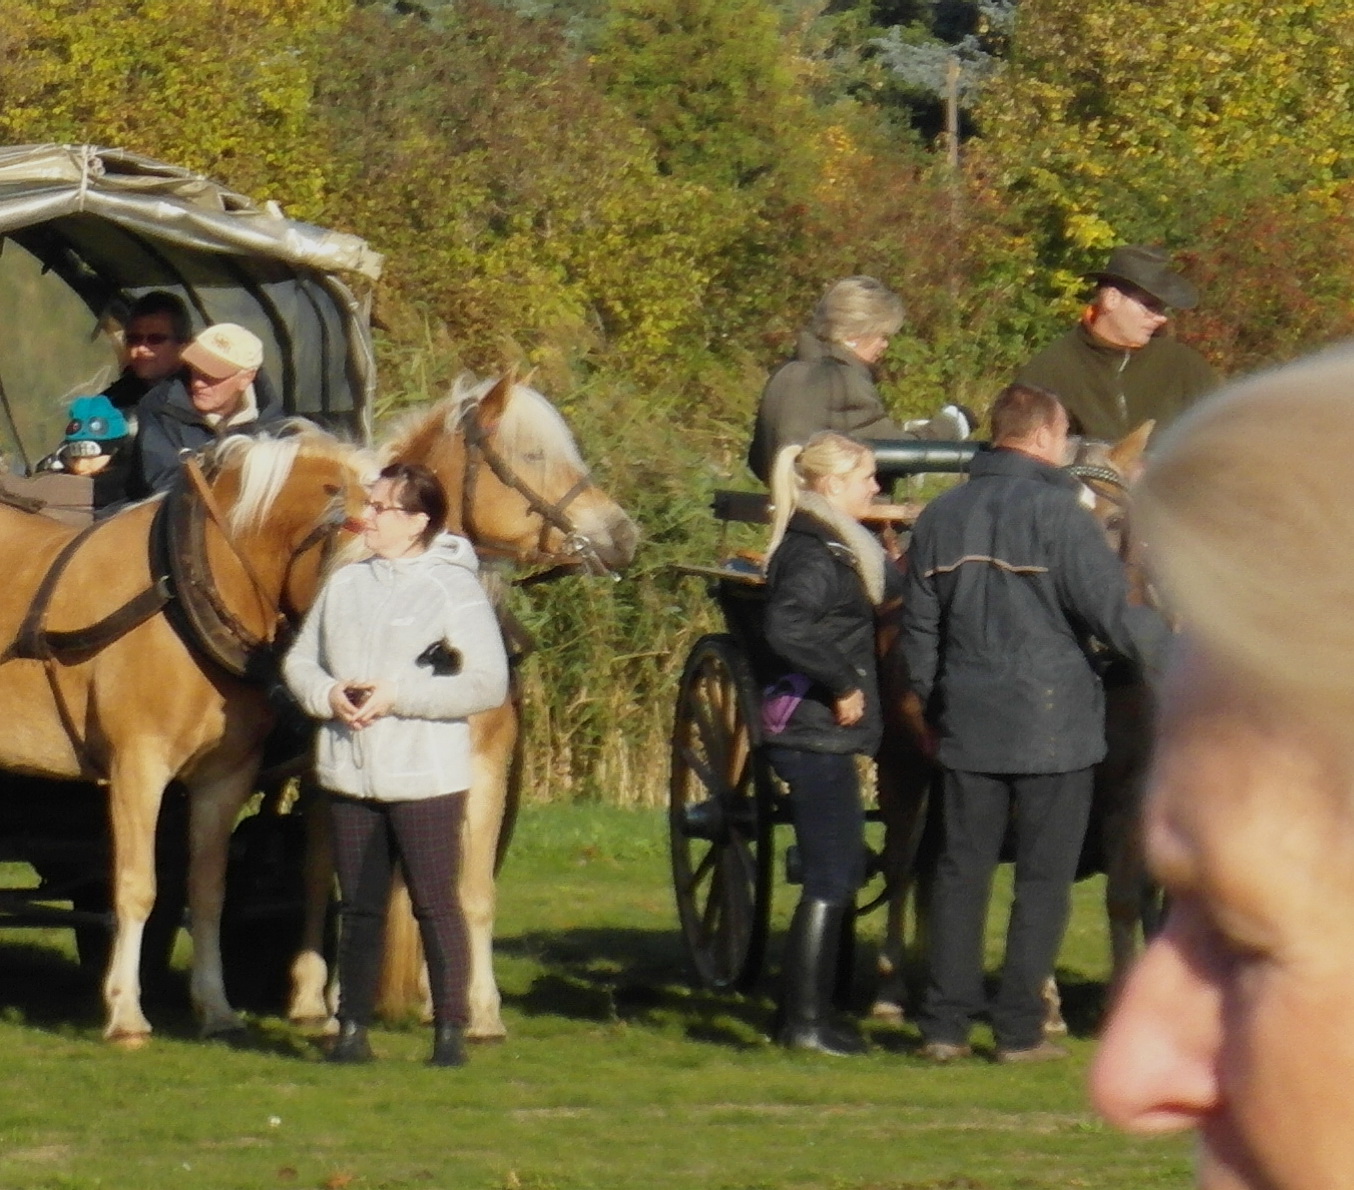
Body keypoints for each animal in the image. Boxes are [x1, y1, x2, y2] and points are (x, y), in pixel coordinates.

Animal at [0, 430, 368, 1039]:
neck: (185, 582)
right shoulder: (138, 766)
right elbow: (136, 887)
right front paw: (126, 1011)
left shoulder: (225, 777)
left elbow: (210, 890)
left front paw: (216, 1007)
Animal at [284, 373, 639, 1039]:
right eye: (533, 454)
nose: (624, 536)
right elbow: (354, 876)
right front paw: (348, 997)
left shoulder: (482, 765)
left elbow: (466, 889)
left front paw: (478, 1008)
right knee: (318, 870)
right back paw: (313, 995)